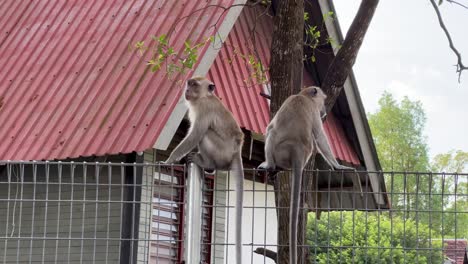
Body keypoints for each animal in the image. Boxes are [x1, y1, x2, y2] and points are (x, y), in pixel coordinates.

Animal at [165, 76, 245, 264]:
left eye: (194, 84)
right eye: (189, 83)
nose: (187, 90)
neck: (204, 97)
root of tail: (236, 152)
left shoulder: (203, 109)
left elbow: (195, 135)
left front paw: (170, 159)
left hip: (221, 151)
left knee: (205, 133)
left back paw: (206, 163)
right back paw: (209, 169)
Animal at [258, 86, 352, 264]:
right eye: (323, 101)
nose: (324, 111)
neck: (303, 96)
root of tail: (297, 151)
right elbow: (319, 137)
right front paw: (337, 166)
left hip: (278, 150)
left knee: (271, 132)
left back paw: (271, 166)